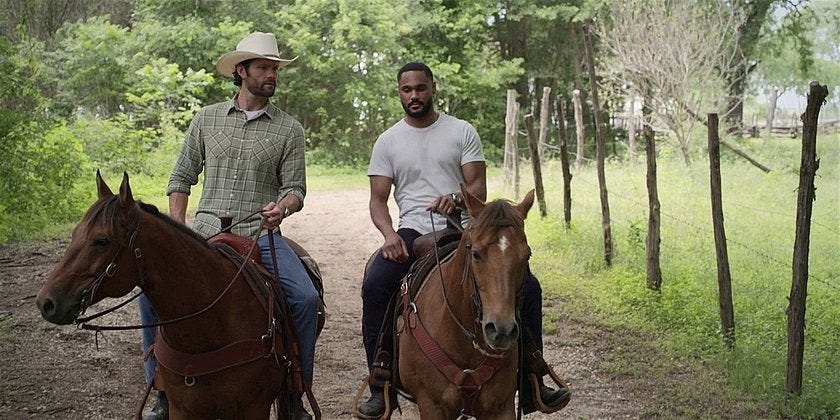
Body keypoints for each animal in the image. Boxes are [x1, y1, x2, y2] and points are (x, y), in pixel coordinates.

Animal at [33, 171, 316, 420]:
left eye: (101, 241)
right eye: (74, 233)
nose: (46, 303)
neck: (210, 322)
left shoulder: (254, 407)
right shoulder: (183, 408)